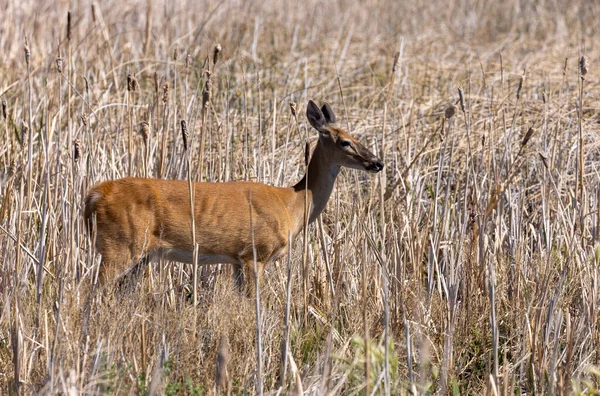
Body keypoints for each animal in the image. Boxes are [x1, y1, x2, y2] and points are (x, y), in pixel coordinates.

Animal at [83, 100, 384, 294]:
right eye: (345, 142)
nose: (377, 163)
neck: (294, 203)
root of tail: (93, 195)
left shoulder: (237, 260)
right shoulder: (256, 253)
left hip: (141, 254)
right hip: (118, 246)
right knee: (91, 292)